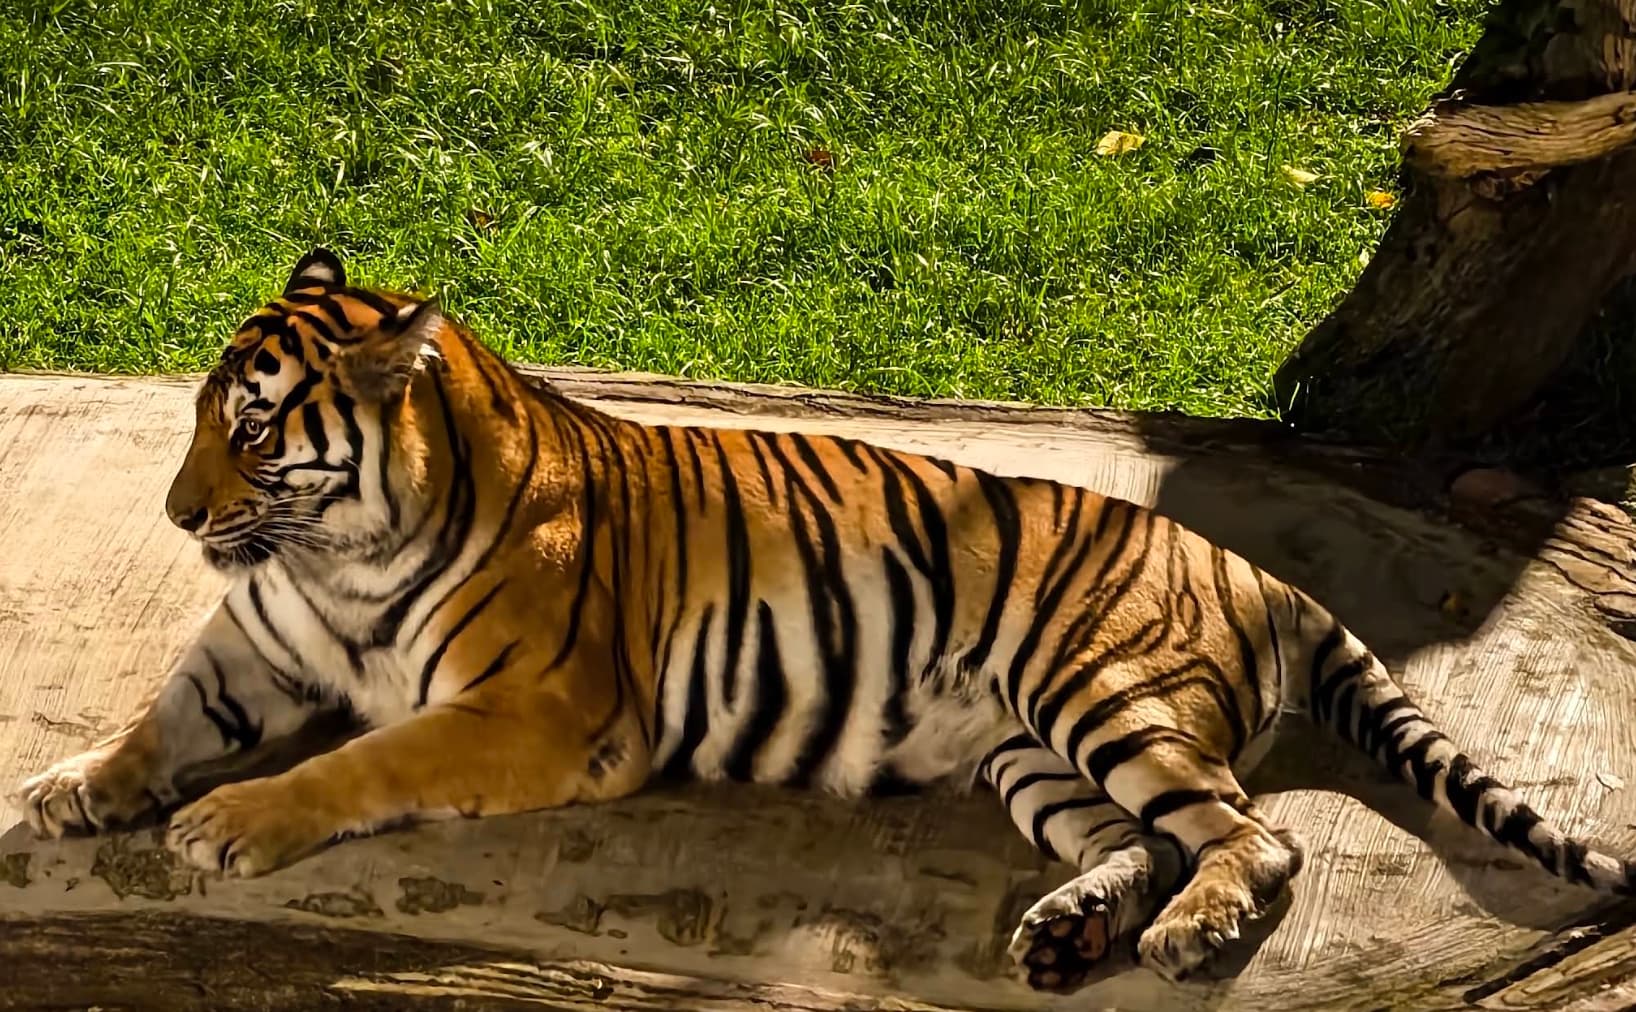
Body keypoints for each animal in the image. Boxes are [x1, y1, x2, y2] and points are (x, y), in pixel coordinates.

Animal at [13, 248, 1633, 990]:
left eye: (253, 425)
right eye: (197, 419)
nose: (177, 517)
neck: (336, 555)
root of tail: (1246, 563)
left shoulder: (537, 710)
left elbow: (364, 761)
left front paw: (229, 825)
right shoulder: (256, 643)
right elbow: (162, 716)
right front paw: (73, 787)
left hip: (1103, 693)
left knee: (1249, 835)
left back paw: (1185, 937)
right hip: (1032, 753)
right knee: (1148, 840)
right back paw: (1068, 931)